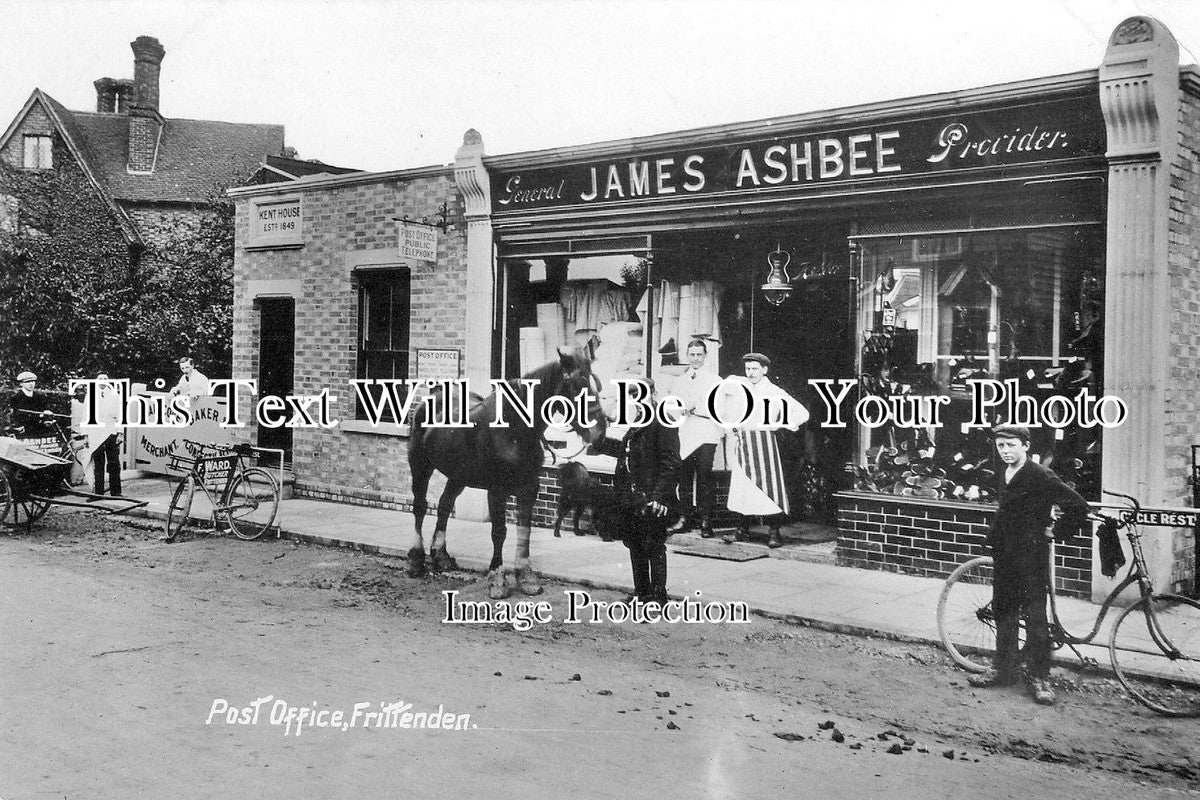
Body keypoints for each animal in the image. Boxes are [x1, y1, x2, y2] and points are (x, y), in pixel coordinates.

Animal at [405, 350, 609, 599]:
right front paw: (498, 579)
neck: (515, 428)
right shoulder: (496, 490)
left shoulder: (529, 488)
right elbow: (499, 532)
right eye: (576, 383)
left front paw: (526, 577)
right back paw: (415, 559)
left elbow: (524, 531)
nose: (600, 432)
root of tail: (433, 396)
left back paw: (441, 555)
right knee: (419, 507)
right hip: (420, 465)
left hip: (458, 475)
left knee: (444, 505)